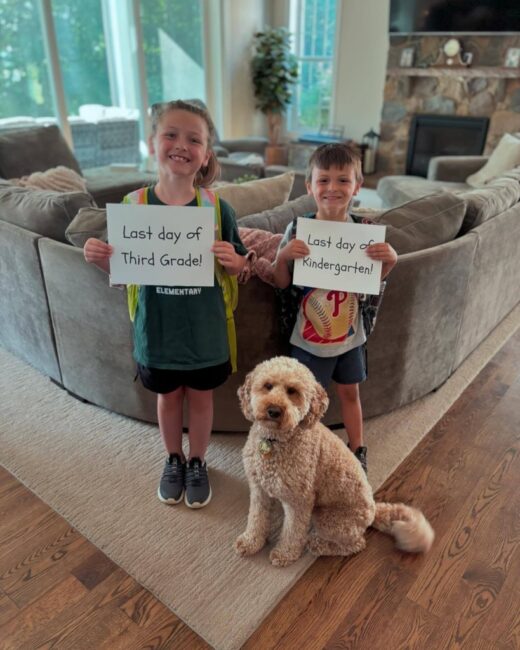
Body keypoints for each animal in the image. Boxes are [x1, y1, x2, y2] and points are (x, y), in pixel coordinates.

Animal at [234, 356, 432, 564]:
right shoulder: (258, 490)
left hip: (328, 518)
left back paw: (318, 544)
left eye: (292, 391)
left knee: (356, 544)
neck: (274, 440)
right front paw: (251, 542)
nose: (274, 410)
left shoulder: (299, 500)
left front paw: (285, 553)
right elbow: (256, 518)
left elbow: (292, 531)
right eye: (268, 385)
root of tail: (373, 510)